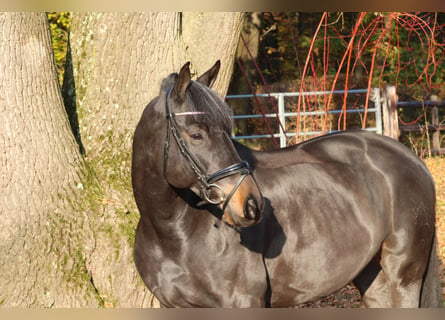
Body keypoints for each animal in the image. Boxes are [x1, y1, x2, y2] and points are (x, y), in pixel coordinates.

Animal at [131, 60, 440, 308]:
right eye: (196, 134)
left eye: (228, 129)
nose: (251, 204)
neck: (175, 233)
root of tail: (411, 159)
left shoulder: (243, 302)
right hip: (373, 278)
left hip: (403, 277)